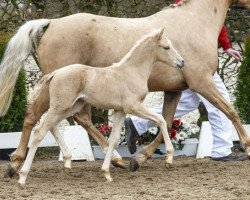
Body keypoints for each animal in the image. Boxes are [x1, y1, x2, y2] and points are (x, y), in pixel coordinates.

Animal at [18, 28, 184, 185]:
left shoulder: (120, 111)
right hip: (61, 106)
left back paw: (67, 162)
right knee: (40, 131)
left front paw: (106, 173)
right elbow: (161, 120)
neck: (131, 72)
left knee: (52, 126)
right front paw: (169, 159)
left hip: (70, 107)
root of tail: (55, 73)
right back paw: (23, 176)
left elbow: (114, 139)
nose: (181, 62)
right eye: (166, 47)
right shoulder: (133, 106)